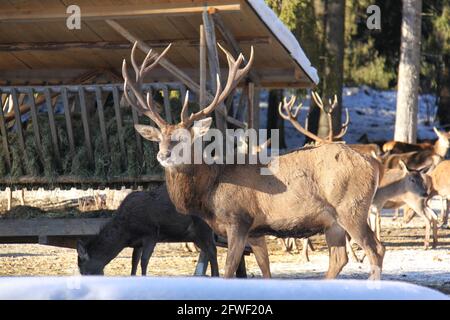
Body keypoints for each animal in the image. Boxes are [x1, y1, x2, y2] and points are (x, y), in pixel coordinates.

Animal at [77, 186, 218, 276]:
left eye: (83, 270)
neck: (126, 232)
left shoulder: (151, 234)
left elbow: (144, 261)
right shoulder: (137, 243)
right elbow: (134, 262)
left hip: (203, 227)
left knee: (212, 250)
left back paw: (216, 275)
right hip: (195, 235)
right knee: (208, 251)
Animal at [123, 43, 384, 278]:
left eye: (183, 138)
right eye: (159, 139)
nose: (163, 155)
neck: (209, 190)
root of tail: (373, 165)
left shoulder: (239, 220)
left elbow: (229, 272)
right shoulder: (257, 232)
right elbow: (265, 271)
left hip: (351, 207)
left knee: (376, 249)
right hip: (333, 222)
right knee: (340, 258)